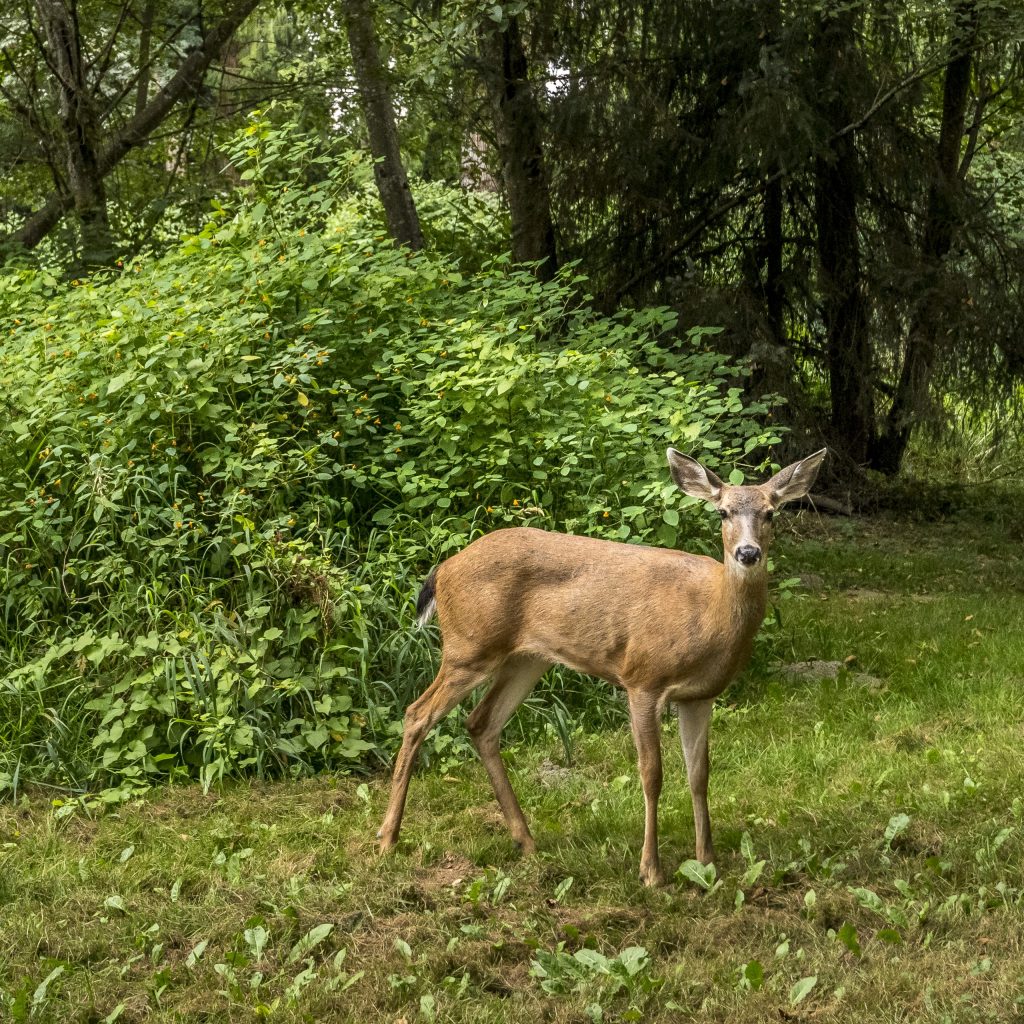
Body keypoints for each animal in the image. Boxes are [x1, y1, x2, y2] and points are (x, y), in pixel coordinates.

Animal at [377, 446, 827, 885]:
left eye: (771, 512)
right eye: (723, 512)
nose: (748, 553)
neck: (708, 616)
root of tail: (443, 570)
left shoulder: (700, 695)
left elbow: (699, 774)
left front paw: (708, 862)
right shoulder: (642, 678)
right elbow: (652, 774)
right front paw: (651, 871)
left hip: (526, 659)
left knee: (481, 723)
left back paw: (526, 841)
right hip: (469, 646)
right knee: (417, 714)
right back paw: (388, 838)